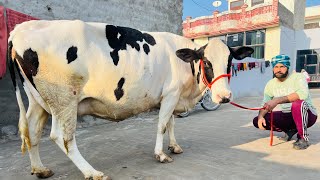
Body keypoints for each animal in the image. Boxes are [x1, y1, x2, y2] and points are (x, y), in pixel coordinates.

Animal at [7, 19, 252, 179]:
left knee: (31, 131)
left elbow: (171, 123)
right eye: (207, 62)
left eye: (230, 61)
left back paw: (40, 169)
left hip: (39, 101)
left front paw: (174, 146)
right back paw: (92, 172)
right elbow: (162, 125)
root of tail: (19, 29)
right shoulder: (171, 94)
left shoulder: (171, 96)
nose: (224, 96)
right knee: (61, 137)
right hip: (64, 99)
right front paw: (160, 154)